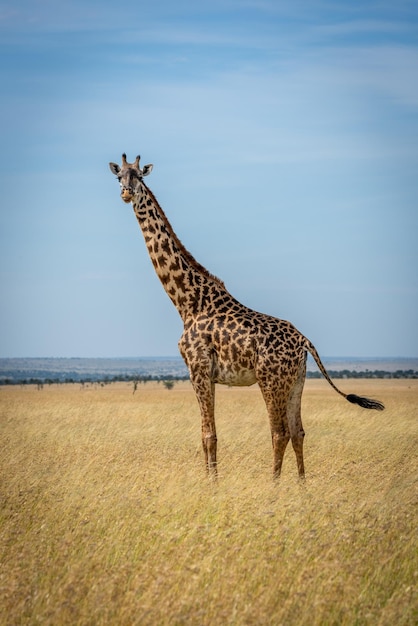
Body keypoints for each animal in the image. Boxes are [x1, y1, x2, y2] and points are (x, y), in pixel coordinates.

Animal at [108, 155, 386, 478]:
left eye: (139, 177)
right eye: (119, 177)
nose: (126, 193)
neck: (187, 302)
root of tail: (305, 341)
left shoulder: (198, 368)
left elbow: (208, 434)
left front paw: (211, 483)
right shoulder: (208, 375)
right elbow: (207, 434)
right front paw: (211, 480)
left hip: (271, 379)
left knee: (279, 432)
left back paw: (274, 485)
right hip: (297, 380)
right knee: (298, 431)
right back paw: (302, 485)